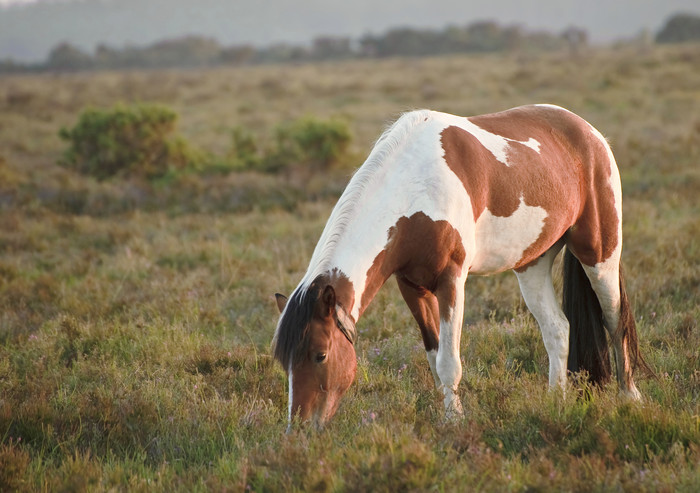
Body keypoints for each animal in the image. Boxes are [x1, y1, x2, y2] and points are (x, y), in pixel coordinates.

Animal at [270, 104, 648, 430]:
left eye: (320, 355)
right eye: (283, 361)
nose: (299, 429)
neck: (416, 188)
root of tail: (589, 133)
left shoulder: (451, 281)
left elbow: (449, 363)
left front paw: (454, 422)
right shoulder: (412, 286)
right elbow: (434, 358)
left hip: (599, 253)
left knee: (615, 320)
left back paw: (629, 397)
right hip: (533, 264)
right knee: (558, 329)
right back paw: (557, 401)